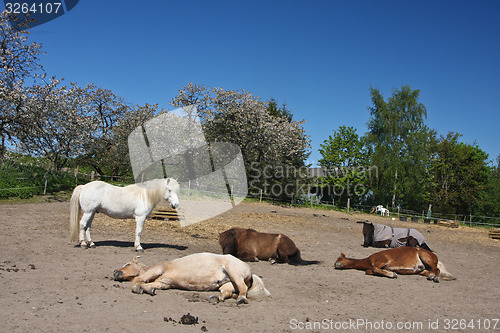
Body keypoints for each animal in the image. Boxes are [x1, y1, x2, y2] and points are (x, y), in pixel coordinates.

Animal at [113, 252, 272, 304]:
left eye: (127, 264)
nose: (115, 272)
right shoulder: (164, 283)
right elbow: (150, 285)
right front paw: (148, 289)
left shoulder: (155, 271)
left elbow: (137, 280)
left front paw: (138, 288)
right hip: (227, 284)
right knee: (227, 293)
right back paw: (216, 298)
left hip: (234, 273)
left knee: (242, 289)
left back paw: (241, 299)